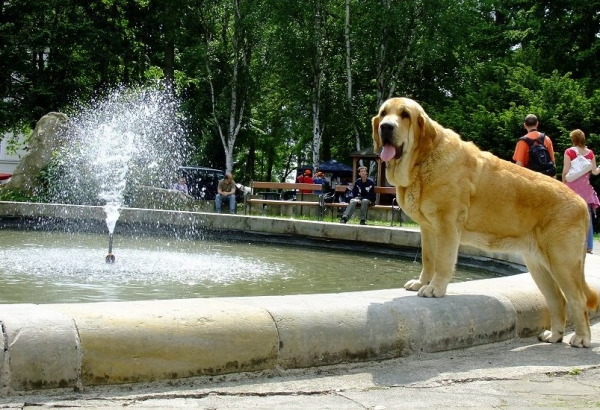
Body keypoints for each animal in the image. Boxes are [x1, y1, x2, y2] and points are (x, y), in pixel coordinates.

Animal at [372, 97, 596, 348]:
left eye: (405, 115)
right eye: (384, 114)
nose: (386, 127)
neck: (422, 160)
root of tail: (581, 202)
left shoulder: (447, 225)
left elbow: (442, 262)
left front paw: (435, 288)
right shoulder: (428, 229)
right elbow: (428, 259)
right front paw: (422, 283)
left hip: (562, 263)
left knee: (577, 300)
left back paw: (581, 338)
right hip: (539, 267)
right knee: (558, 300)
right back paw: (554, 335)